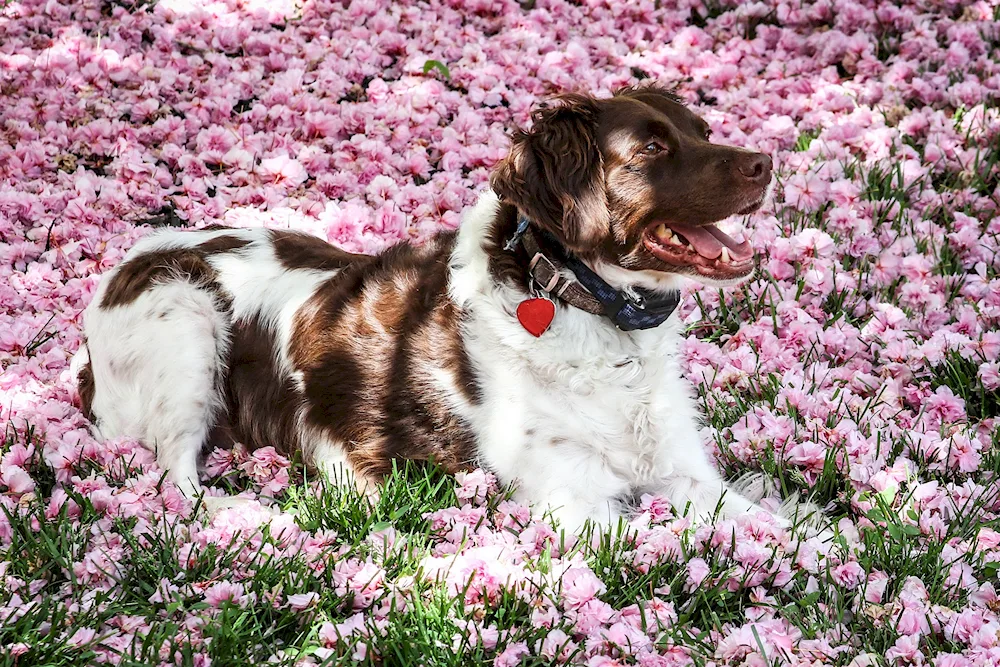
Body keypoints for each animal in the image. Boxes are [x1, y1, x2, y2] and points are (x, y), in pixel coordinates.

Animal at [74, 85, 784, 532]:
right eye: (651, 149)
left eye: (702, 132)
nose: (765, 161)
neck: (586, 312)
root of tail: (129, 260)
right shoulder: (575, 499)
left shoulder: (684, 470)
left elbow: (777, 531)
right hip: (183, 315)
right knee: (176, 476)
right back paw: (252, 515)